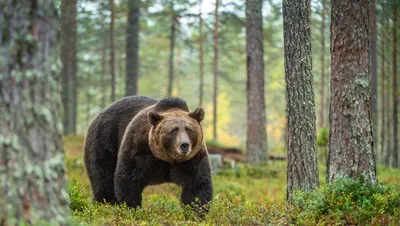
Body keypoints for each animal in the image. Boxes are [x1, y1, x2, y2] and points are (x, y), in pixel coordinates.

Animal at [83, 95, 212, 210]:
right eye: (173, 130)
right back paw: (103, 204)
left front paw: (196, 211)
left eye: (189, 129)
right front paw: (131, 207)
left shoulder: (192, 159)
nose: (184, 145)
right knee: (102, 178)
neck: (167, 158)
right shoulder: (139, 150)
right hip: (104, 138)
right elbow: (128, 180)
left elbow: (197, 185)